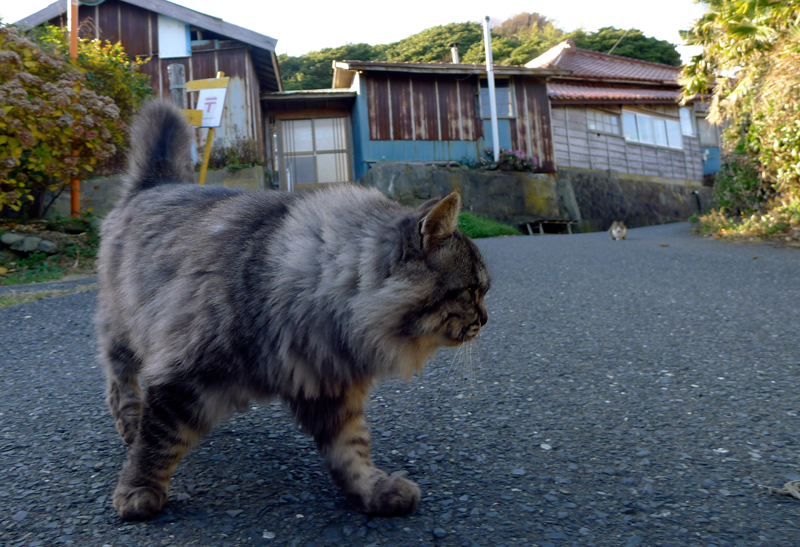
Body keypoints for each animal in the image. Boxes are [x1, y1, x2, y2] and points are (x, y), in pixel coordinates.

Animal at [97, 100, 490, 520]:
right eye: (471, 291)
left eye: (482, 292)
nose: (485, 319)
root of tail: (157, 184)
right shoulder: (182, 373)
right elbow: (158, 443)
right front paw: (139, 491)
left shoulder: (331, 388)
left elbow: (352, 452)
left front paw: (373, 491)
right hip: (125, 329)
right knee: (120, 381)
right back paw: (130, 424)